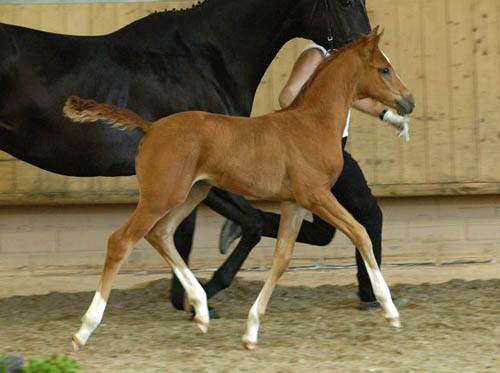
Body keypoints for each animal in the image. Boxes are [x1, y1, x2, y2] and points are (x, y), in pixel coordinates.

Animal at [65, 28, 414, 348]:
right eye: (384, 69)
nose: (408, 101)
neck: (312, 124)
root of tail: (151, 127)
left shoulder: (294, 204)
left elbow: (281, 258)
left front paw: (251, 330)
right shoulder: (316, 195)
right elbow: (360, 233)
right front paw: (390, 311)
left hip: (192, 193)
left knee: (161, 234)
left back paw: (202, 311)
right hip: (159, 196)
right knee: (121, 241)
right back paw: (84, 330)